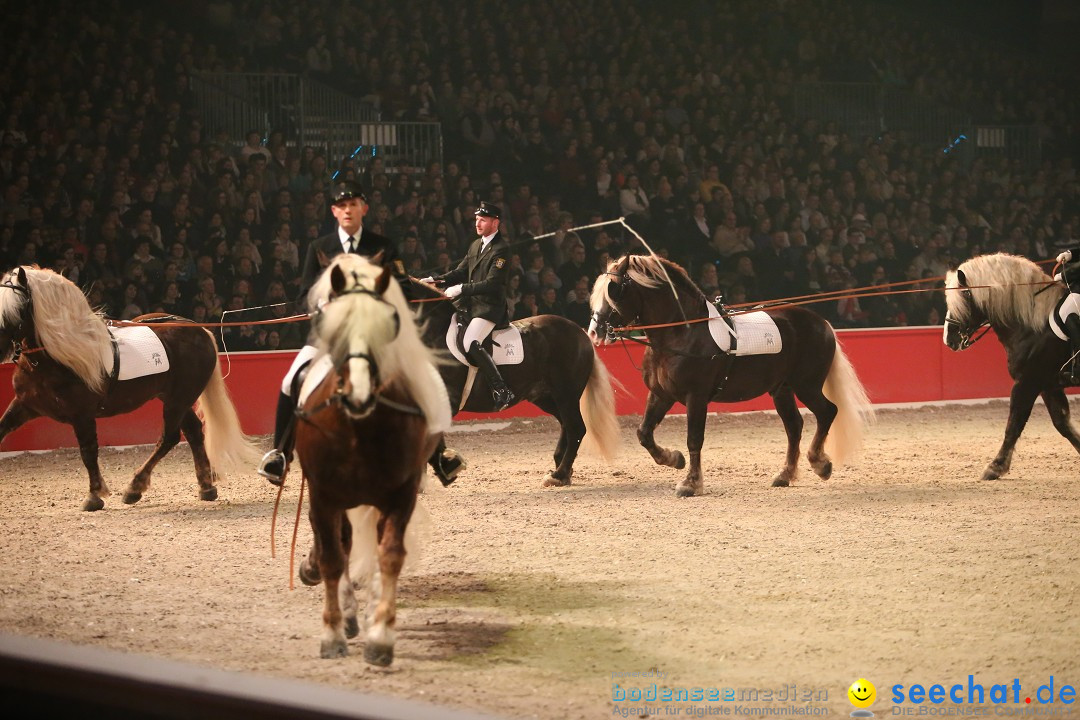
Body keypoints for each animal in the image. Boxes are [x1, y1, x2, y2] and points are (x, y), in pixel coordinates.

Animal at [0, 266, 259, 511]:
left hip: (178, 400)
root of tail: (199, 330)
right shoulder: (24, 405)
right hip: (175, 398)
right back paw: (206, 487)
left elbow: (88, 452)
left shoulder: (82, 415)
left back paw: (135, 488)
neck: (55, 358)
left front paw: (94, 496)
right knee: (194, 431)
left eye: (17, 307)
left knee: (170, 437)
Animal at [291, 255, 447, 669]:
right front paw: (333, 632)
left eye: (386, 326)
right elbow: (332, 556)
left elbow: (389, 555)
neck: (357, 428)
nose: (357, 396)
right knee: (343, 544)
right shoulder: (323, 496)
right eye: (334, 326)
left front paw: (381, 636)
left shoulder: (401, 494)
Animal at [587, 253, 872, 496]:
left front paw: (690, 483)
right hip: (782, 389)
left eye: (614, 290)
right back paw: (785, 475)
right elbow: (644, 433)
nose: (594, 332)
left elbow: (694, 439)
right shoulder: (661, 394)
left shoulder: (696, 397)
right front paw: (674, 459)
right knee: (794, 426)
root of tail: (821, 322)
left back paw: (820, 464)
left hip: (807, 386)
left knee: (827, 412)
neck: (683, 333)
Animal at [946, 250, 1080, 481]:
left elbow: (1014, 424)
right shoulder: (1048, 385)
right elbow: (1062, 423)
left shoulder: (1027, 382)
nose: (948, 340)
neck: (1033, 324)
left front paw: (995, 467)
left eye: (964, 298)